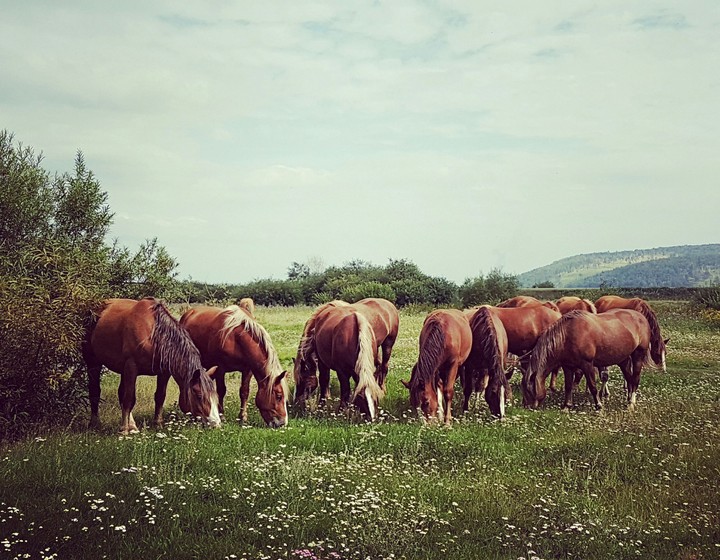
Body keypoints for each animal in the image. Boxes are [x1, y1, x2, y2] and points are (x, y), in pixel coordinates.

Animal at [82, 298, 221, 434]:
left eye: (215, 396)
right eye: (199, 396)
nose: (216, 424)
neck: (154, 335)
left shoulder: (164, 372)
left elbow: (160, 396)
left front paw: (158, 424)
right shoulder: (131, 367)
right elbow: (129, 399)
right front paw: (124, 430)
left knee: (121, 393)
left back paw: (132, 425)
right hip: (93, 362)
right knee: (95, 391)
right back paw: (95, 423)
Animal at [522, 309, 665, 411]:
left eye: (529, 390)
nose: (527, 407)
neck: (567, 335)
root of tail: (642, 318)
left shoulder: (588, 365)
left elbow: (592, 386)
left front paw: (599, 406)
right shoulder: (568, 366)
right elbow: (568, 386)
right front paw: (566, 407)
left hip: (638, 356)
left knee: (635, 379)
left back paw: (631, 404)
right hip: (623, 360)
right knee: (629, 379)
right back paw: (628, 399)